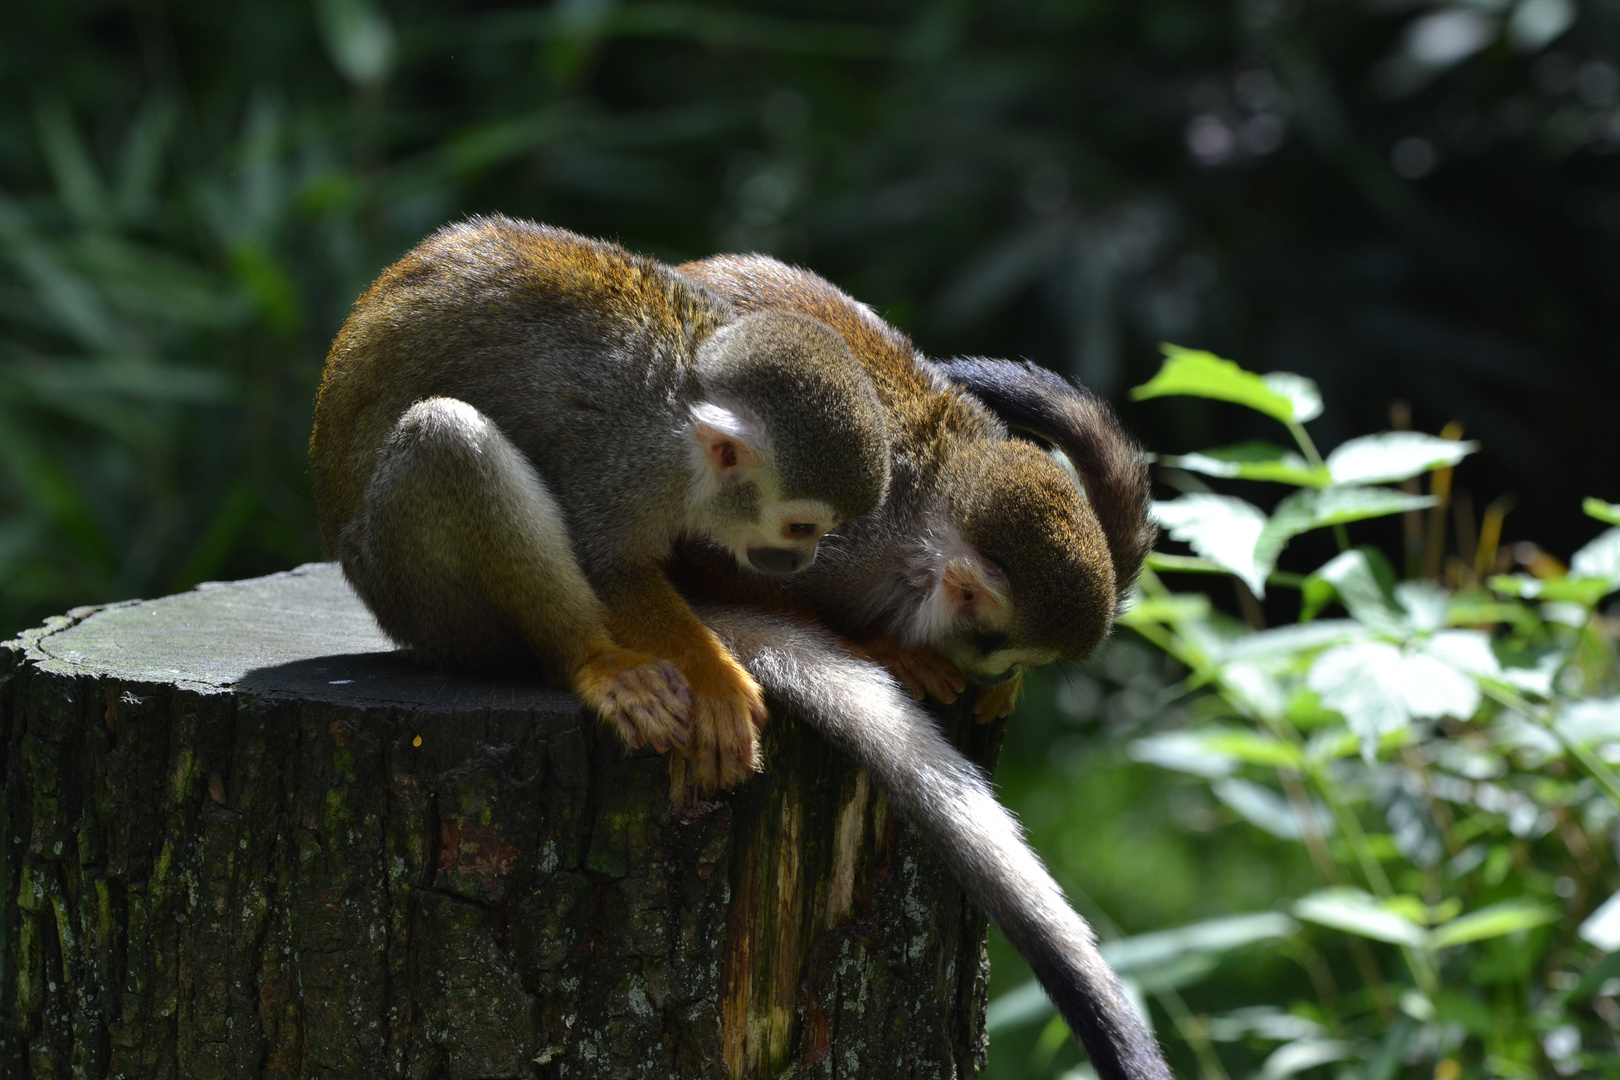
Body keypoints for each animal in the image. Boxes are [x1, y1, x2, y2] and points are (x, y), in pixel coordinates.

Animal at [309, 215, 894, 790]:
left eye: (819, 533)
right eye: (800, 528)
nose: (802, 562)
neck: (688, 410)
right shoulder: (627, 457)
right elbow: (608, 566)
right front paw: (713, 674)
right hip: (423, 606)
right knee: (444, 438)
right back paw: (595, 661)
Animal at [677, 255, 1159, 718]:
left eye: (1027, 662)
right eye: (998, 647)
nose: (1004, 675)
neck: (919, 530)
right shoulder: (842, 544)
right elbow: (707, 553)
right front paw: (877, 647)